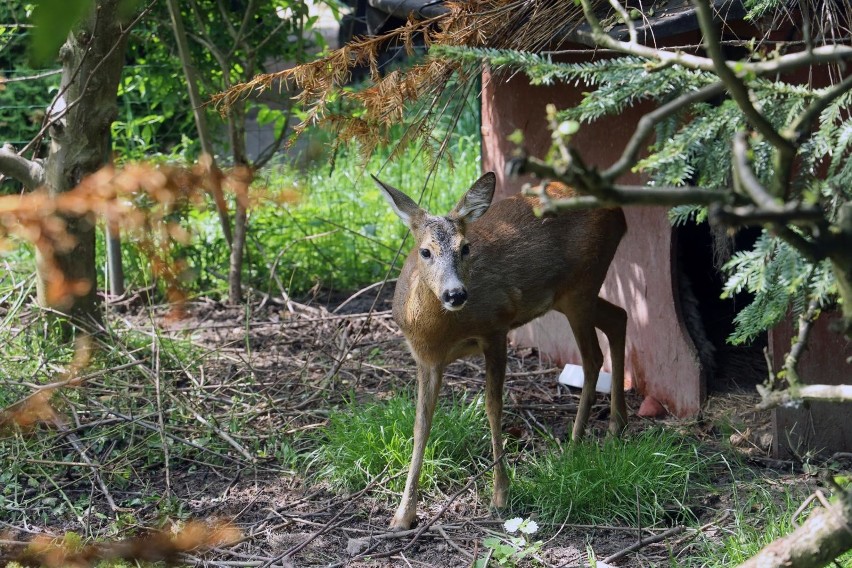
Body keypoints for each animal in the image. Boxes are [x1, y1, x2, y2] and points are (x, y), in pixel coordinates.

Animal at [376, 171, 628, 532]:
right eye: (425, 251)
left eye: (465, 248)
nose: (455, 294)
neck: (438, 332)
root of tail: (618, 212)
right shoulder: (426, 360)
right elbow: (421, 422)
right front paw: (402, 514)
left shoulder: (496, 328)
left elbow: (493, 407)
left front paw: (500, 494)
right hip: (572, 295)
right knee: (619, 318)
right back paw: (614, 427)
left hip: (583, 285)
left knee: (594, 355)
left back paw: (577, 443)